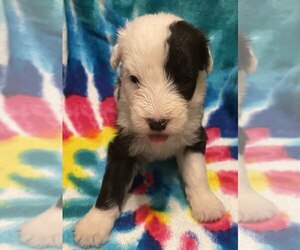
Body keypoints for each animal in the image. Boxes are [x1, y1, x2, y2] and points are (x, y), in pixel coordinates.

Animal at [75, 12, 225, 247]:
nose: (157, 122)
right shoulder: (122, 144)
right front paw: (94, 224)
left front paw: (205, 202)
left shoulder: (193, 135)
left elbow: (196, 172)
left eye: (185, 79)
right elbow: (112, 183)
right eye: (134, 79)